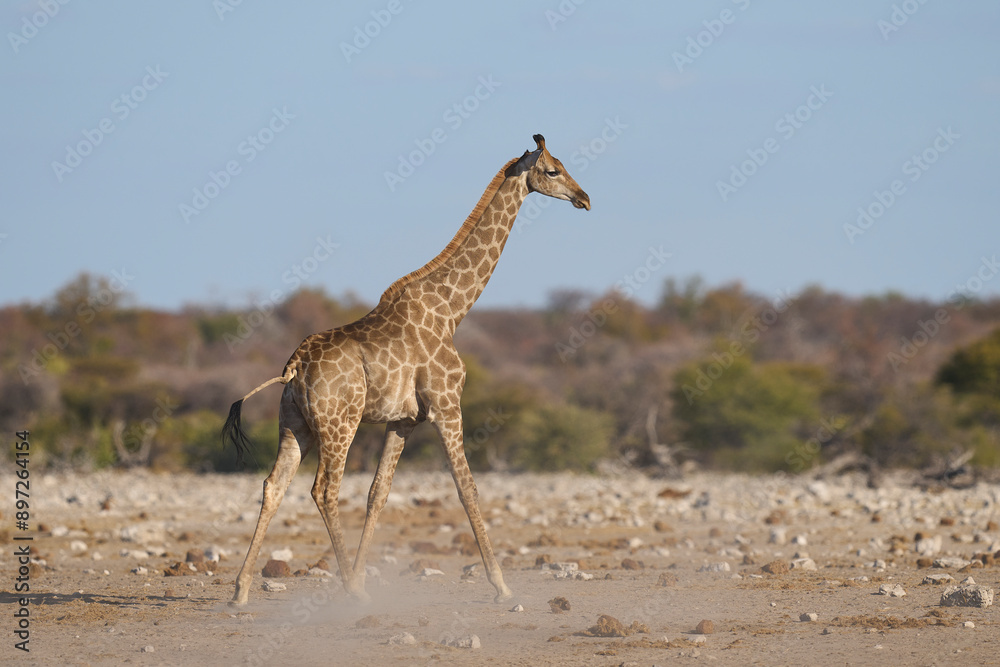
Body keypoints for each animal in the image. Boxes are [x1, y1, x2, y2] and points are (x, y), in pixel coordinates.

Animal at [224, 134, 590, 606]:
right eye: (552, 170)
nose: (584, 198)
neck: (452, 311)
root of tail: (294, 367)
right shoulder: (447, 406)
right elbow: (466, 488)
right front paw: (502, 585)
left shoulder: (404, 420)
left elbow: (378, 493)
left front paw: (365, 577)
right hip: (339, 425)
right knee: (324, 490)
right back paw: (348, 591)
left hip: (294, 424)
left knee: (273, 486)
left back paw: (241, 590)